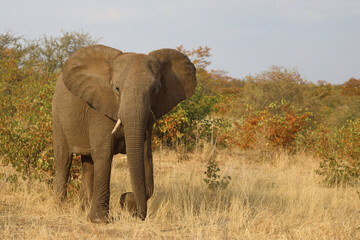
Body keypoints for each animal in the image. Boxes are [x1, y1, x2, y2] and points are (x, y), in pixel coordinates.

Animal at [52, 45, 195, 223]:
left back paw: (82, 209)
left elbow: (145, 155)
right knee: (64, 159)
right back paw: (59, 208)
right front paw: (100, 220)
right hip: (57, 114)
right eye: (117, 89)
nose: (136, 213)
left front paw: (126, 201)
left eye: (155, 90)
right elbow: (104, 153)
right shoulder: (99, 110)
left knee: (88, 163)